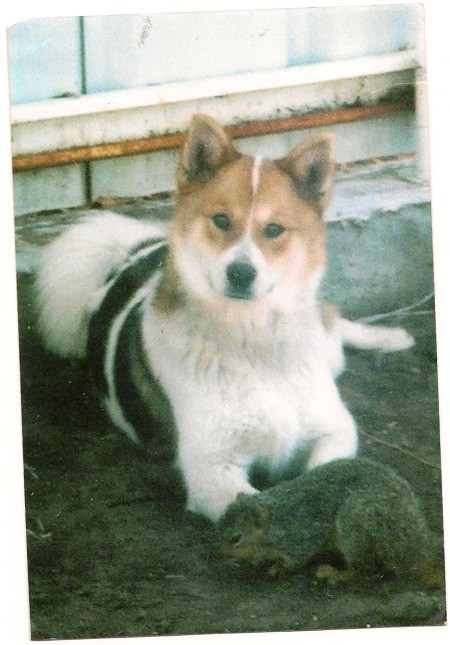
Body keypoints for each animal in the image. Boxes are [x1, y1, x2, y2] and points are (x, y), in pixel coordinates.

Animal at [35, 113, 414, 520]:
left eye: (274, 230)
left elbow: (328, 469)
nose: (241, 273)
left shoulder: (335, 429)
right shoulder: (211, 471)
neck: (253, 342)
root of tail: (134, 254)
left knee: (333, 325)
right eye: (220, 220)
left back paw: (391, 337)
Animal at [217, 458, 442, 584]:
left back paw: (335, 574)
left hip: (356, 531)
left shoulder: (302, 535)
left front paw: (277, 567)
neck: (276, 521)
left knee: (364, 572)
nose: (220, 555)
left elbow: (296, 559)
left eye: (236, 538)